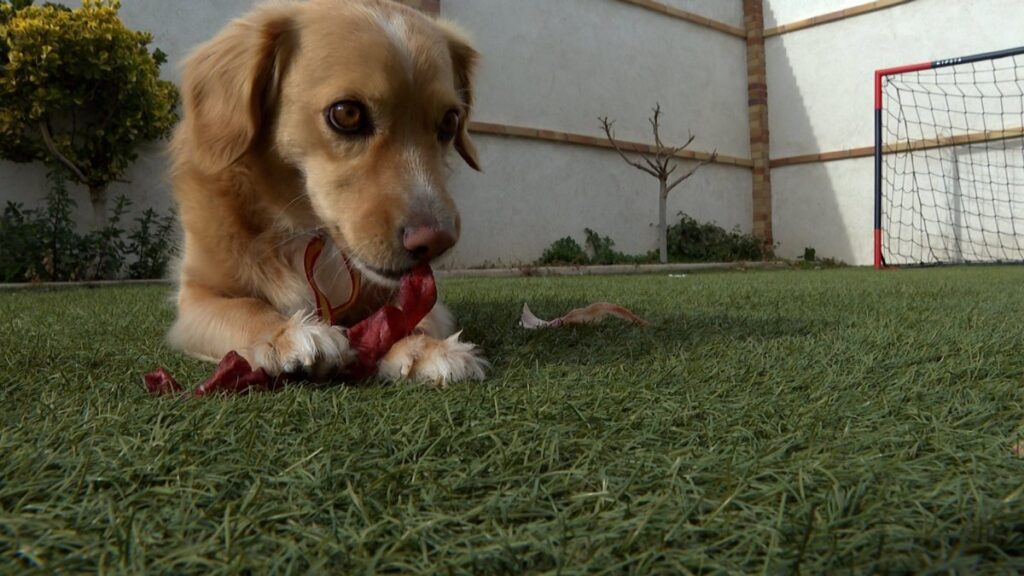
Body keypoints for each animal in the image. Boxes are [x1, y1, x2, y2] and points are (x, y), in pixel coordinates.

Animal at [167, 1, 487, 385]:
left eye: (450, 122)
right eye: (347, 113)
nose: (437, 242)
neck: (309, 229)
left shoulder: (420, 297)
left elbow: (416, 316)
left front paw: (424, 348)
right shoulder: (196, 298)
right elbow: (244, 307)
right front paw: (288, 334)